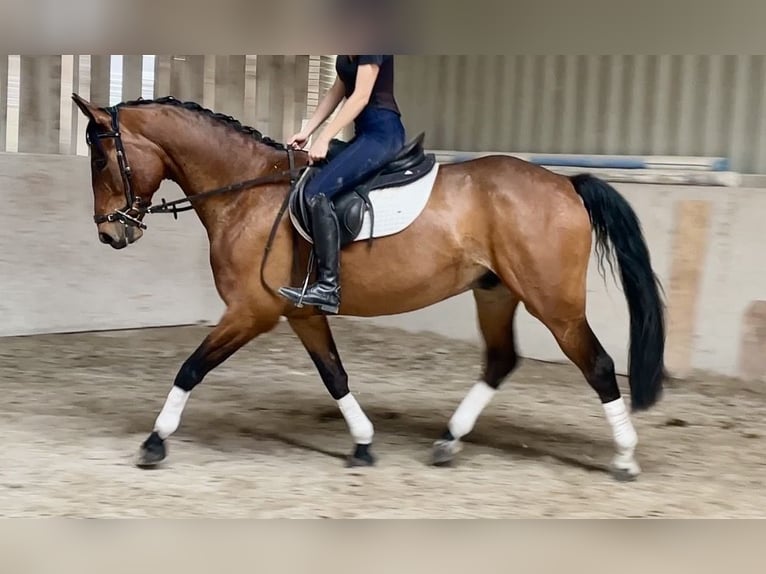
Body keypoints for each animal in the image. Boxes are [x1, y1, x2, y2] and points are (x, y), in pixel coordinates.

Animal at [71, 92, 666, 481]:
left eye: (100, 157)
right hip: (496, 292)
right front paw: (362, 444)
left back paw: (626, 458)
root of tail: (566, 184)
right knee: (501, 360)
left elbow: (191, 367)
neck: (247, 192)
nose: (110, 233)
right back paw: (448, 442)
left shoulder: (250, 311)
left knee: (598, 365)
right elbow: (334, 375)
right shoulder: (301, 313)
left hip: (554, 303)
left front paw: (154, 442)